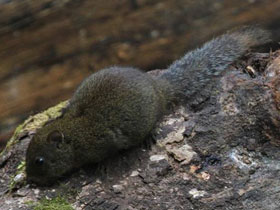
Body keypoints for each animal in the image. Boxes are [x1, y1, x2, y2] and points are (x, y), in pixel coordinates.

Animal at [25, 26, 270, 185]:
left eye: (39, 161)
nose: (29, 181)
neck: (74, 131)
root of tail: (159, 87)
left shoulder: (104, 143)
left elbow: (108, 155)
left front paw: (102, 167)